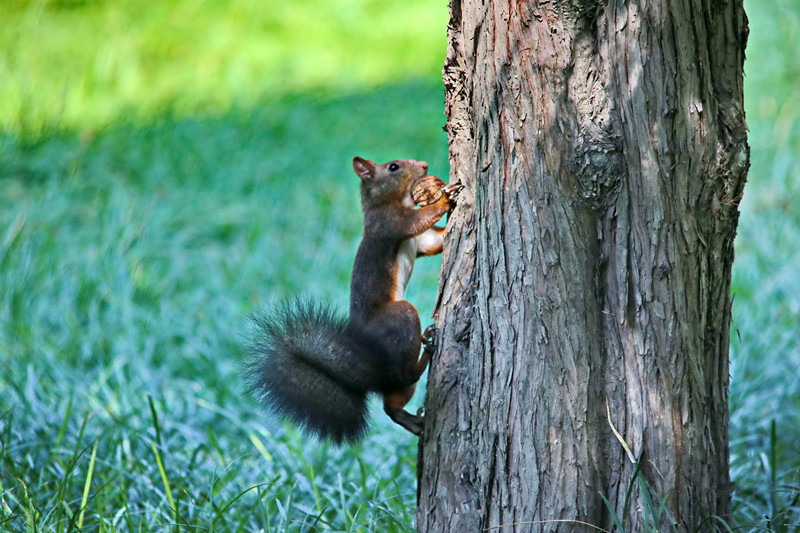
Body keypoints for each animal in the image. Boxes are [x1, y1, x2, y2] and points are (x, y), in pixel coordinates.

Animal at [250, 156, 462, 442]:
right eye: (393, 167)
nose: (424, 165)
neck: (389, 202)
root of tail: (372, 366)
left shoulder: (421, 242)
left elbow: (434, 243)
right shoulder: (390, 223)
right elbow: (419, 219)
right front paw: (445, 198)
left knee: (391, 403)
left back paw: (412, 420)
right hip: (400, 317)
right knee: (403, 376)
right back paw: (426, 353)